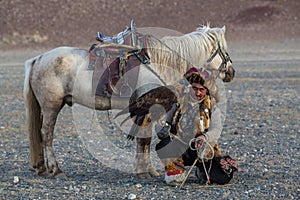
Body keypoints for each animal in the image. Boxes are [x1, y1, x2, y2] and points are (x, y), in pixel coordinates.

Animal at [23, 24, 234, 177]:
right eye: (224, 49)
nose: (231, 72)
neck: (158, 62)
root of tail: (38, 58)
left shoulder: (146, 111)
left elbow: (144, 141)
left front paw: (146, 170)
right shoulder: (149, 108)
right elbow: (145, 139)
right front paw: (144, 172)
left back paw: (42, 167)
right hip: (51, 106)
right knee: (46, 135)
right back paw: (55, 169)